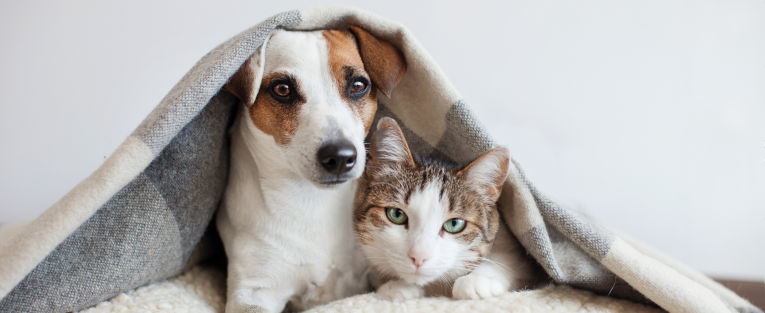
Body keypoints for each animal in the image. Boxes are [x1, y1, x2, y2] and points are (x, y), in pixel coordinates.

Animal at [356, 117, 536, 300]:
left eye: (455, 224)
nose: (419, 256)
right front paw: (395, 286)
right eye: (396, 214)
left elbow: (509, 261)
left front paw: (477, 280)